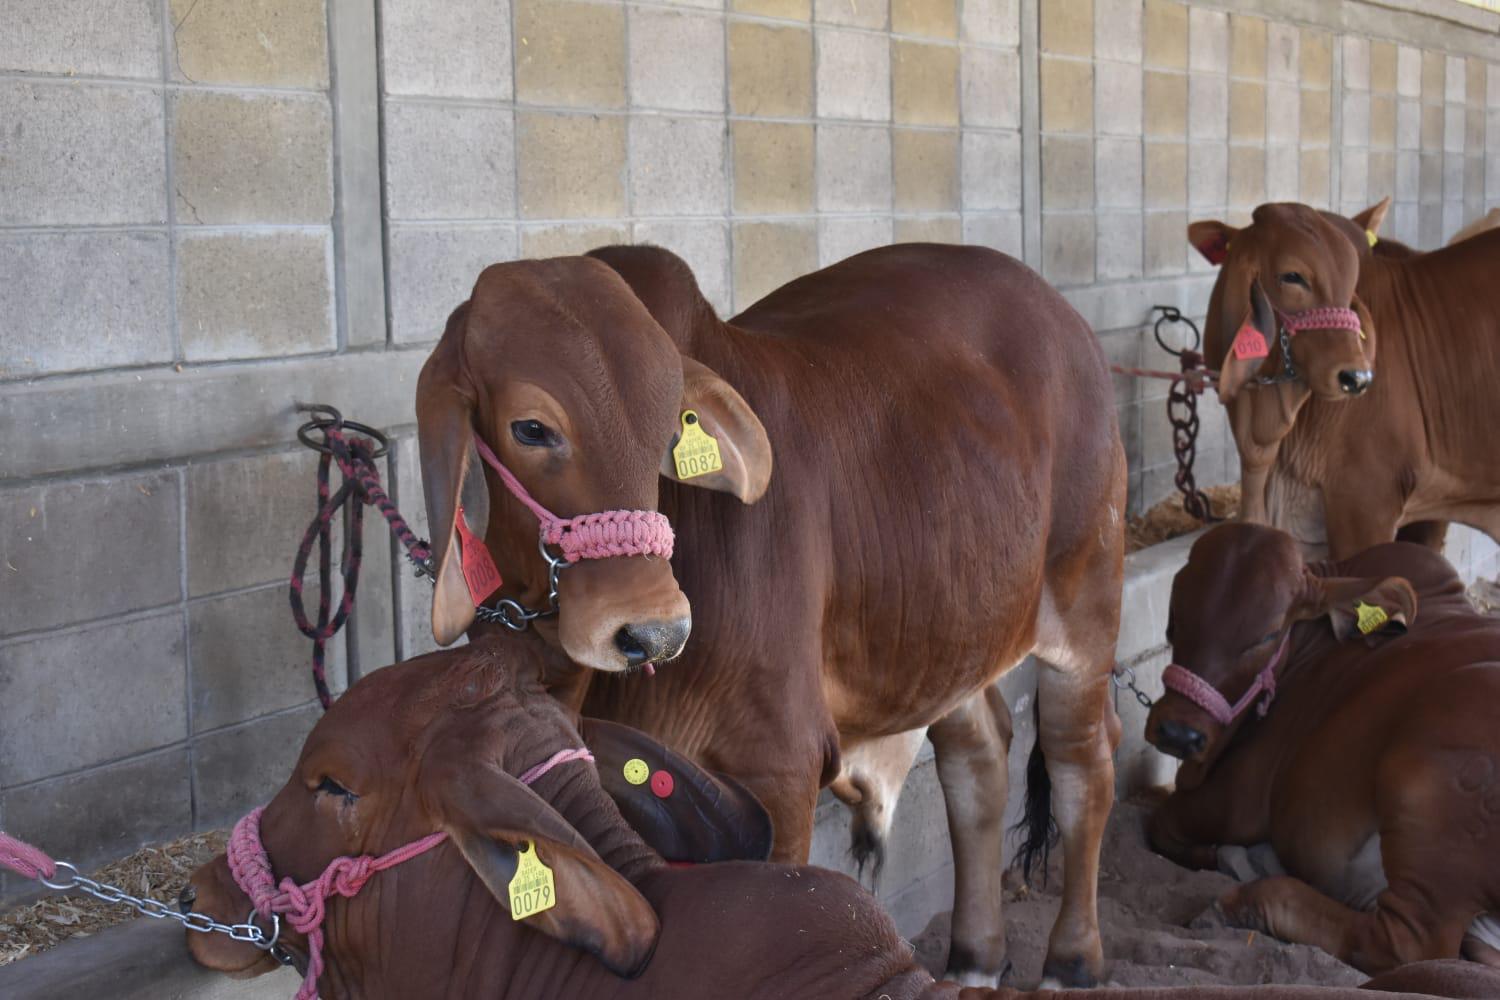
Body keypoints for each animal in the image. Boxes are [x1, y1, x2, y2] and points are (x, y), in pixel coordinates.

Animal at [414, 244, 1128, 983]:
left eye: (665, 427)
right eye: (531, 428)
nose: (653, 630)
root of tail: (1061, 312)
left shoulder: (779, 769)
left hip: (1087, 601)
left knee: (1082, 763)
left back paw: (1073, 959)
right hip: (949, 635)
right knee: (978, 755)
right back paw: (974, 958)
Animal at [1146, 527, 1500, 971]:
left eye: (1268, 634)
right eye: (1174, 619)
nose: (1178, 733)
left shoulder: (1237, 799)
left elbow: (1161, 823)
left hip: (1423, 781)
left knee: (1405, 944)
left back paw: (1238, 902)